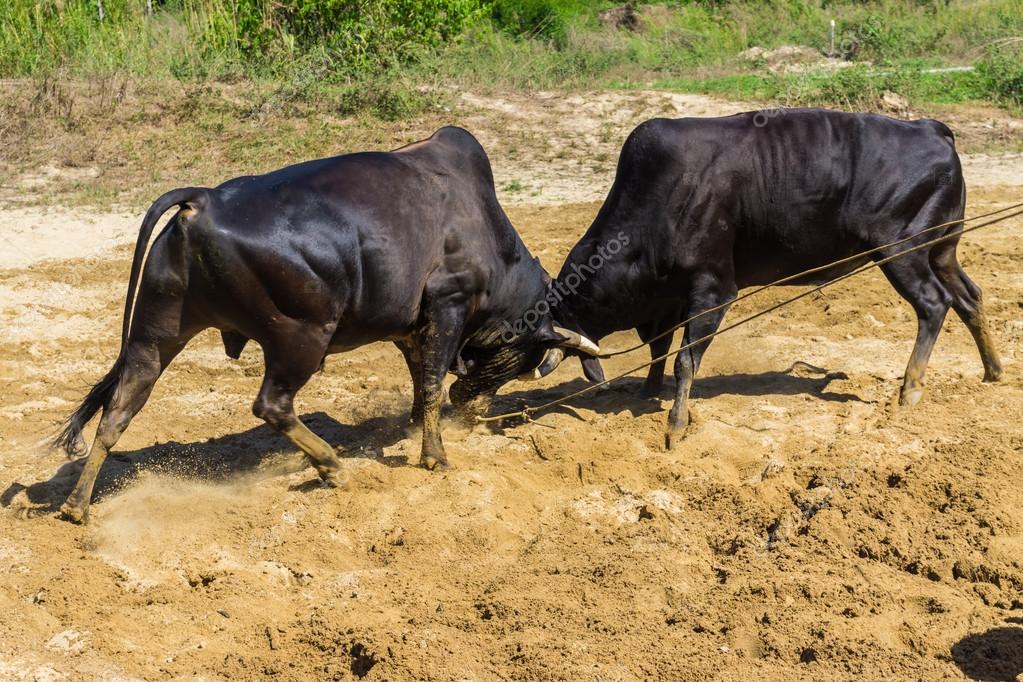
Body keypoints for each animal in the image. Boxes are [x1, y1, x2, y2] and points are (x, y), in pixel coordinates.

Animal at [53, 126, 599, 523]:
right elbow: (430, 381)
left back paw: (77, 506)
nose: (474, 410)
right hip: (302, 336)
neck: (484, 227)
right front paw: (435, 455)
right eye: (523, 358)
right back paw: (332, 465)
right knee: (271, 405)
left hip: (156, 334)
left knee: (119, 409)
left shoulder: (410, 326)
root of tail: (204, 199)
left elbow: (419, 378)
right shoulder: (448, 304)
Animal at [545, 109, 1002, 448]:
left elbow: (685, 359)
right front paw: (647, 392)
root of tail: (929, 128)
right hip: (942, 250)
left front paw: (676, 425)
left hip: (900, 251)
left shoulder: (713, 290)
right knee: (969, 297)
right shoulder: (667, 301)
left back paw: (911, 388)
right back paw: (993, 370)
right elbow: (660, 349)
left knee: (934, 304)